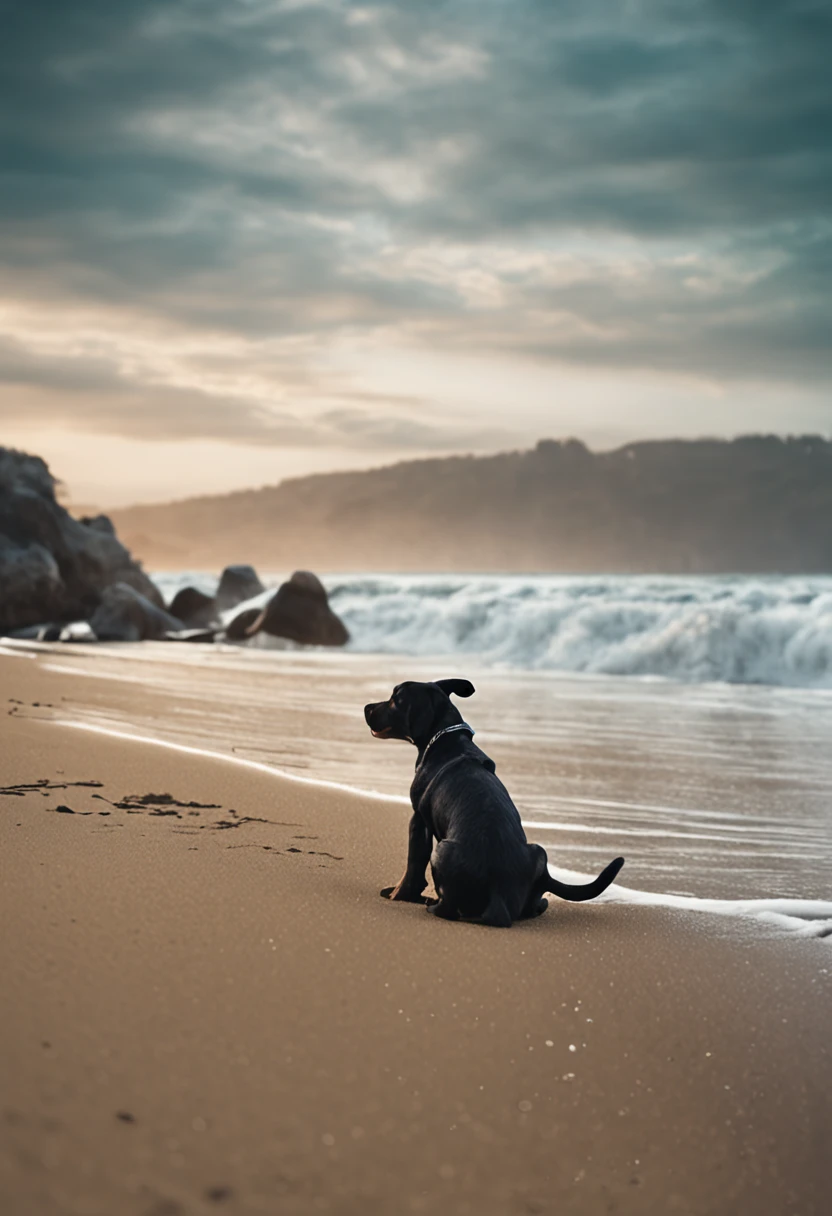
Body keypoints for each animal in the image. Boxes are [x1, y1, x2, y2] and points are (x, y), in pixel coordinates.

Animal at [364, 680, 622, 924]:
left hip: (442, 850)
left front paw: (398, 895)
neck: (445, 737)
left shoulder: (418, 820)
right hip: (539, 852)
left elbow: (413, 868)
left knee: (448, 908)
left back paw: (432, 905)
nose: (366, 707)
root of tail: (498, 895)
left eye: (395, 700)